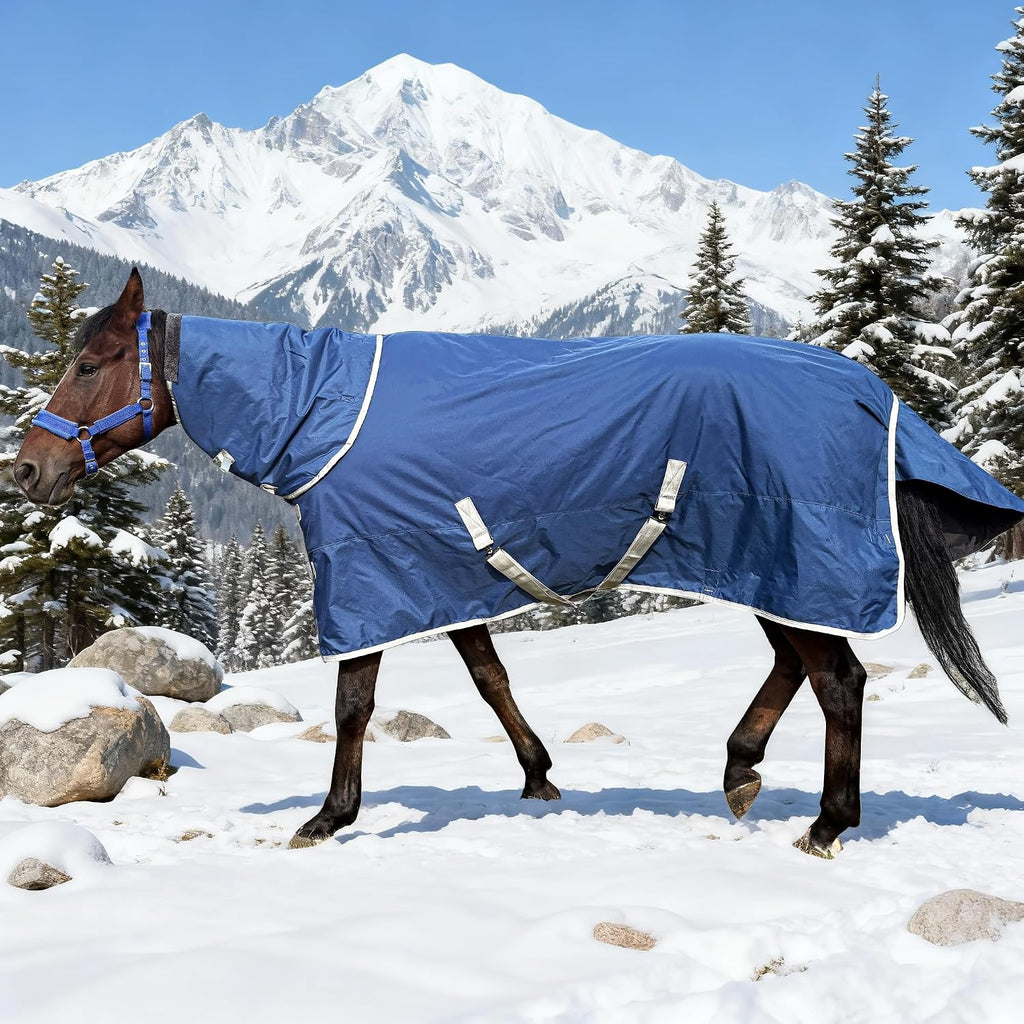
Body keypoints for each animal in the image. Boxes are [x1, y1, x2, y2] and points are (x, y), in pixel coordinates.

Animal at [13, 270, 1024, 856]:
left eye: (92, 364)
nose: (27, 468)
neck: (322, 414)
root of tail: (866, 390)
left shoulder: (372, 576)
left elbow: (353, 706)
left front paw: (329, 817)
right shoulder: (437, 577)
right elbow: (490, 676)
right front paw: (539, 776)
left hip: (790, 558)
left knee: (840, 680)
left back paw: (827, 821)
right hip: (766, 566)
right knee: (798, 666)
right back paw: (741, 771)